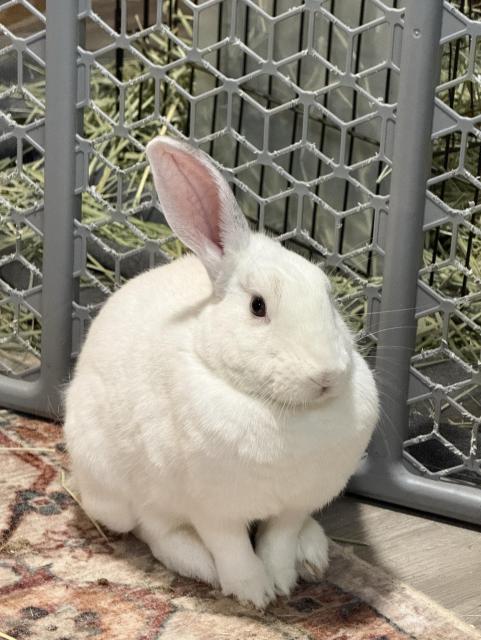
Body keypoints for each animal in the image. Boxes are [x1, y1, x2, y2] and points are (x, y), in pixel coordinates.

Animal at [64, 135, 379, 609]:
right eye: (257, 306)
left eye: (328, 295)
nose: (326, 375)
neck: (282, 409)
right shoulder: (213, 509)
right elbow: (231, 548)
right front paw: (254, 593)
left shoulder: (294, 504)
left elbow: (279, 540)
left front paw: (283, 582)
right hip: (112, 486)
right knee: (151, 528)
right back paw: (199, 565)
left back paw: (312, 554)